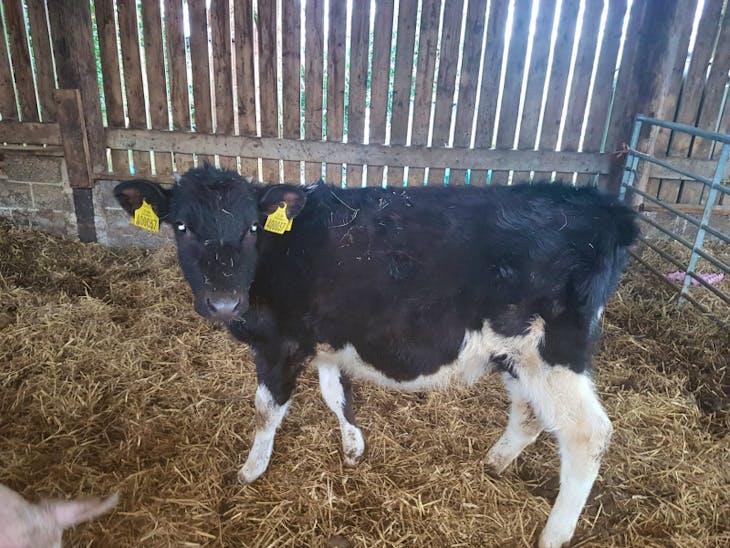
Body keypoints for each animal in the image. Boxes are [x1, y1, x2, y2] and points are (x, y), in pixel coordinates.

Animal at [115, 165, 638, 548]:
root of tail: (604, 207)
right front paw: (352, 446)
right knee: (529, 415)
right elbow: (334, 393)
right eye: (182, 226)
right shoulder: (323, 337)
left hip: (554, 352)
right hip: (517, 355)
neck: (280, 251)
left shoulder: (279, 344)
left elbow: (266, 409)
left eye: (250, 228)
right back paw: (494, 463)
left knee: (588, 434)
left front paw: (251, 469)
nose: (223, 303)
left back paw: (554, 534)